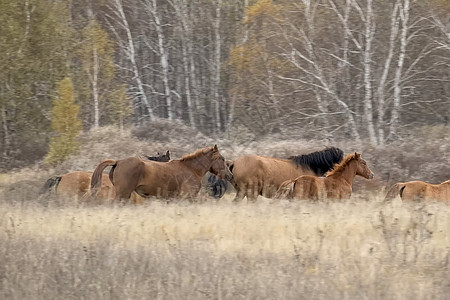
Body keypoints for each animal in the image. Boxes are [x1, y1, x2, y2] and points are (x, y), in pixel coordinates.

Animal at [90, 145, 234, 202]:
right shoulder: (188, 197)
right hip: (123, 194)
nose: (230, 176)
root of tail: (118, 162)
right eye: (222, 159)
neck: (191, 169)